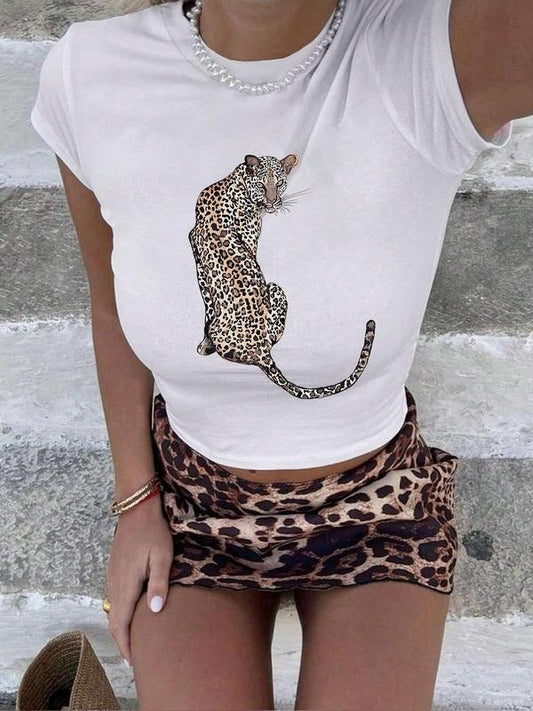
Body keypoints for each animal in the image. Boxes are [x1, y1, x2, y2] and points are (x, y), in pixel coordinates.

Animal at [188, 153, 376, 399]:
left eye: (279, 184)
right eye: (262, 184)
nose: (272, 202)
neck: (237, 180)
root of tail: (261, 352)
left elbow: (208, 305)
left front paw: (204, 343)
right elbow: (208, 305)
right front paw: (205, 343)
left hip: (276, 289)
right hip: (276, 287)